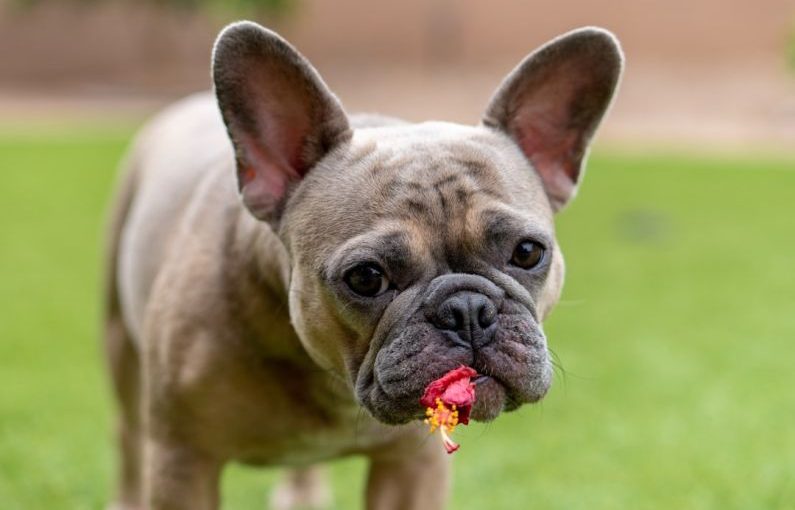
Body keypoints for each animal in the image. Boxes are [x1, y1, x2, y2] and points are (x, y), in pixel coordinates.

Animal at [105, 20, 624, 510]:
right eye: (367, 278)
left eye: (527, 252)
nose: (467, 310)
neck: (331, 378)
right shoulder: (184, 461)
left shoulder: (412, 464)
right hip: (121, 347)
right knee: (128, 435)